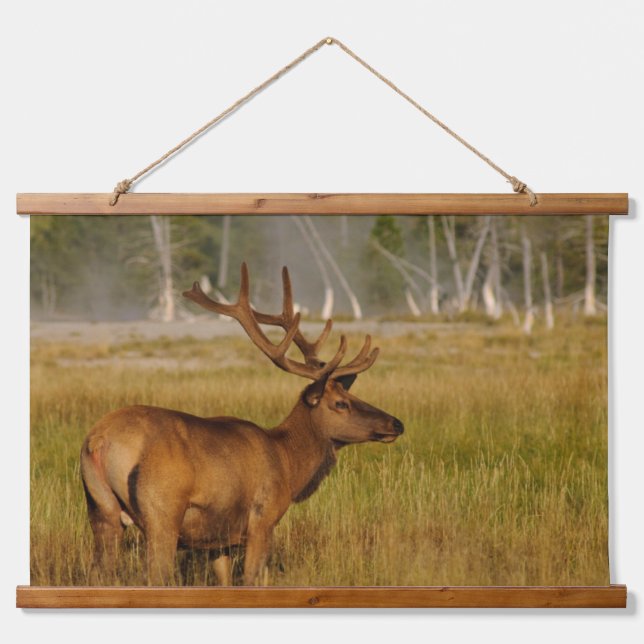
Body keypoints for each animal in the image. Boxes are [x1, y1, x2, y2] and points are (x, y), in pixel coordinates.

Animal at [80, 263, 404, 586]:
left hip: (101, 510)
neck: (288, 463)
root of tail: (99, 441)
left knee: (98, 571)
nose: (396, 423)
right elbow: (252, 578)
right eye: (340, 403)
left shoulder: (219, 540)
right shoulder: (263, 519)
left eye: (352, 394)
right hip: (162, 512)